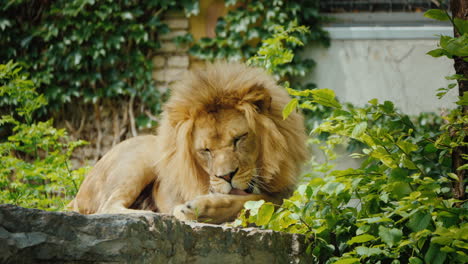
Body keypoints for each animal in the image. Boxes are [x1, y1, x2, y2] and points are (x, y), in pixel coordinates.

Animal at [69, 62, 308, 223]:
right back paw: (152, 214)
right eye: (206, 150)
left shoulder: (285, 192)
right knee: (107, 206)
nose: (226, 176)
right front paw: (197, 208)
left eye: (239, 139)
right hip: (142, 157)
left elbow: (263, 200)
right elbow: (257, 199)